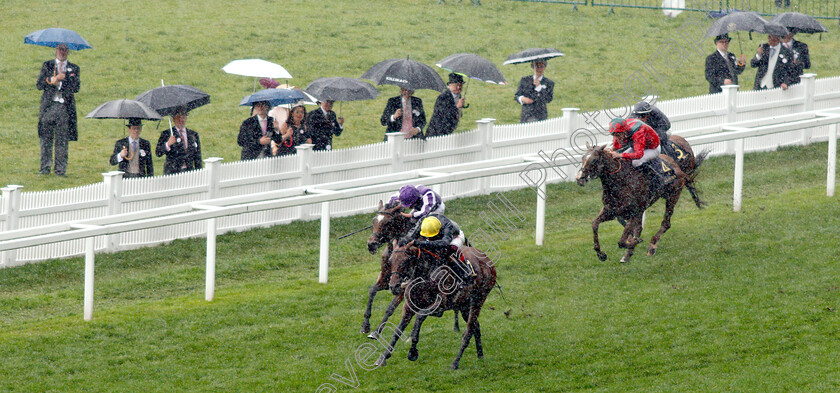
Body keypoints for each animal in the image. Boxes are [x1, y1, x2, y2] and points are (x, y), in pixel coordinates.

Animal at [364, 201, 462, 338]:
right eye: (374, 221)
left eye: (388, 222)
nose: (371, 244)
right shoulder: (386, 281)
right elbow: (372, 290)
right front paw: (366, 326)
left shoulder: (402, 286)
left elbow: (390, 308)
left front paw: (377, 331)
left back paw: (456, 325)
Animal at [576, 139, 704, 262]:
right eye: (582, 158)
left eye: (594, 160)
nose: (579, 179)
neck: (620, 182)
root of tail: (677, 167)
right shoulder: (611, 211)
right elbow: (594, 224)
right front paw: (601, 254)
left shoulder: (634, 211)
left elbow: (622, 241)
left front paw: (635, 242)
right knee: (640, 228)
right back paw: (628, 255)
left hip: (672, 196)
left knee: (666, 223)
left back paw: (651, 246)